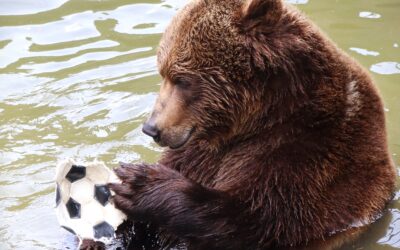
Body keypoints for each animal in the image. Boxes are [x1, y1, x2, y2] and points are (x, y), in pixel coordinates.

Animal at [106, 0, 396, 249]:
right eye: (163, 73)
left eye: (182, 80)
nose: (151, 128)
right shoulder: (199, 153)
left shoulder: (311, 154)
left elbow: (260, 220)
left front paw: (138, 183)